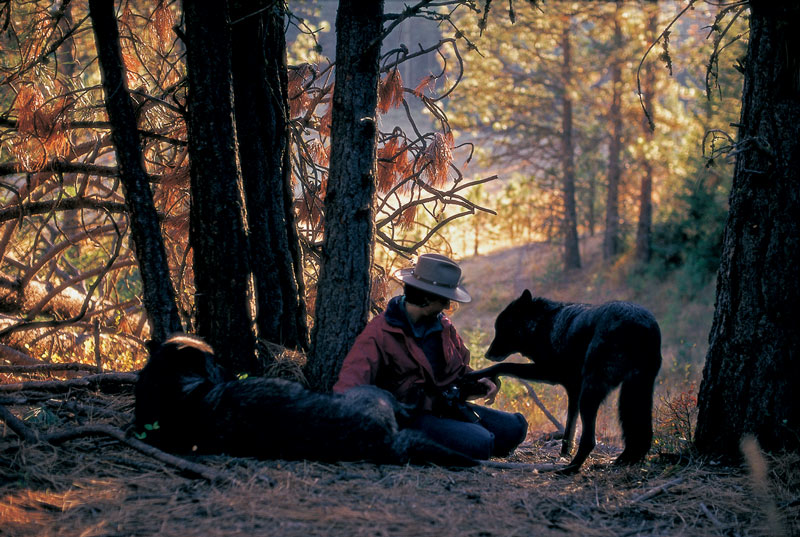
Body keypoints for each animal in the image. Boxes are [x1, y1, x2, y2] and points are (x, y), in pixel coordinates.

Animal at [462, 288, 664, 474]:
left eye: (502, 329)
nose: (487, 354)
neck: (543, 325)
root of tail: (640, 325)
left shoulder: (549, 372)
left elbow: (505, 365)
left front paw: (476, 374)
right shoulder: (573, 389)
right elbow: (570, 427)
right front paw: (564, 453)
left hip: (592, 394)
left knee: (590, 440)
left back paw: (571, 468)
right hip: (632, 395)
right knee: (642, 434)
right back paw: (617, 463)